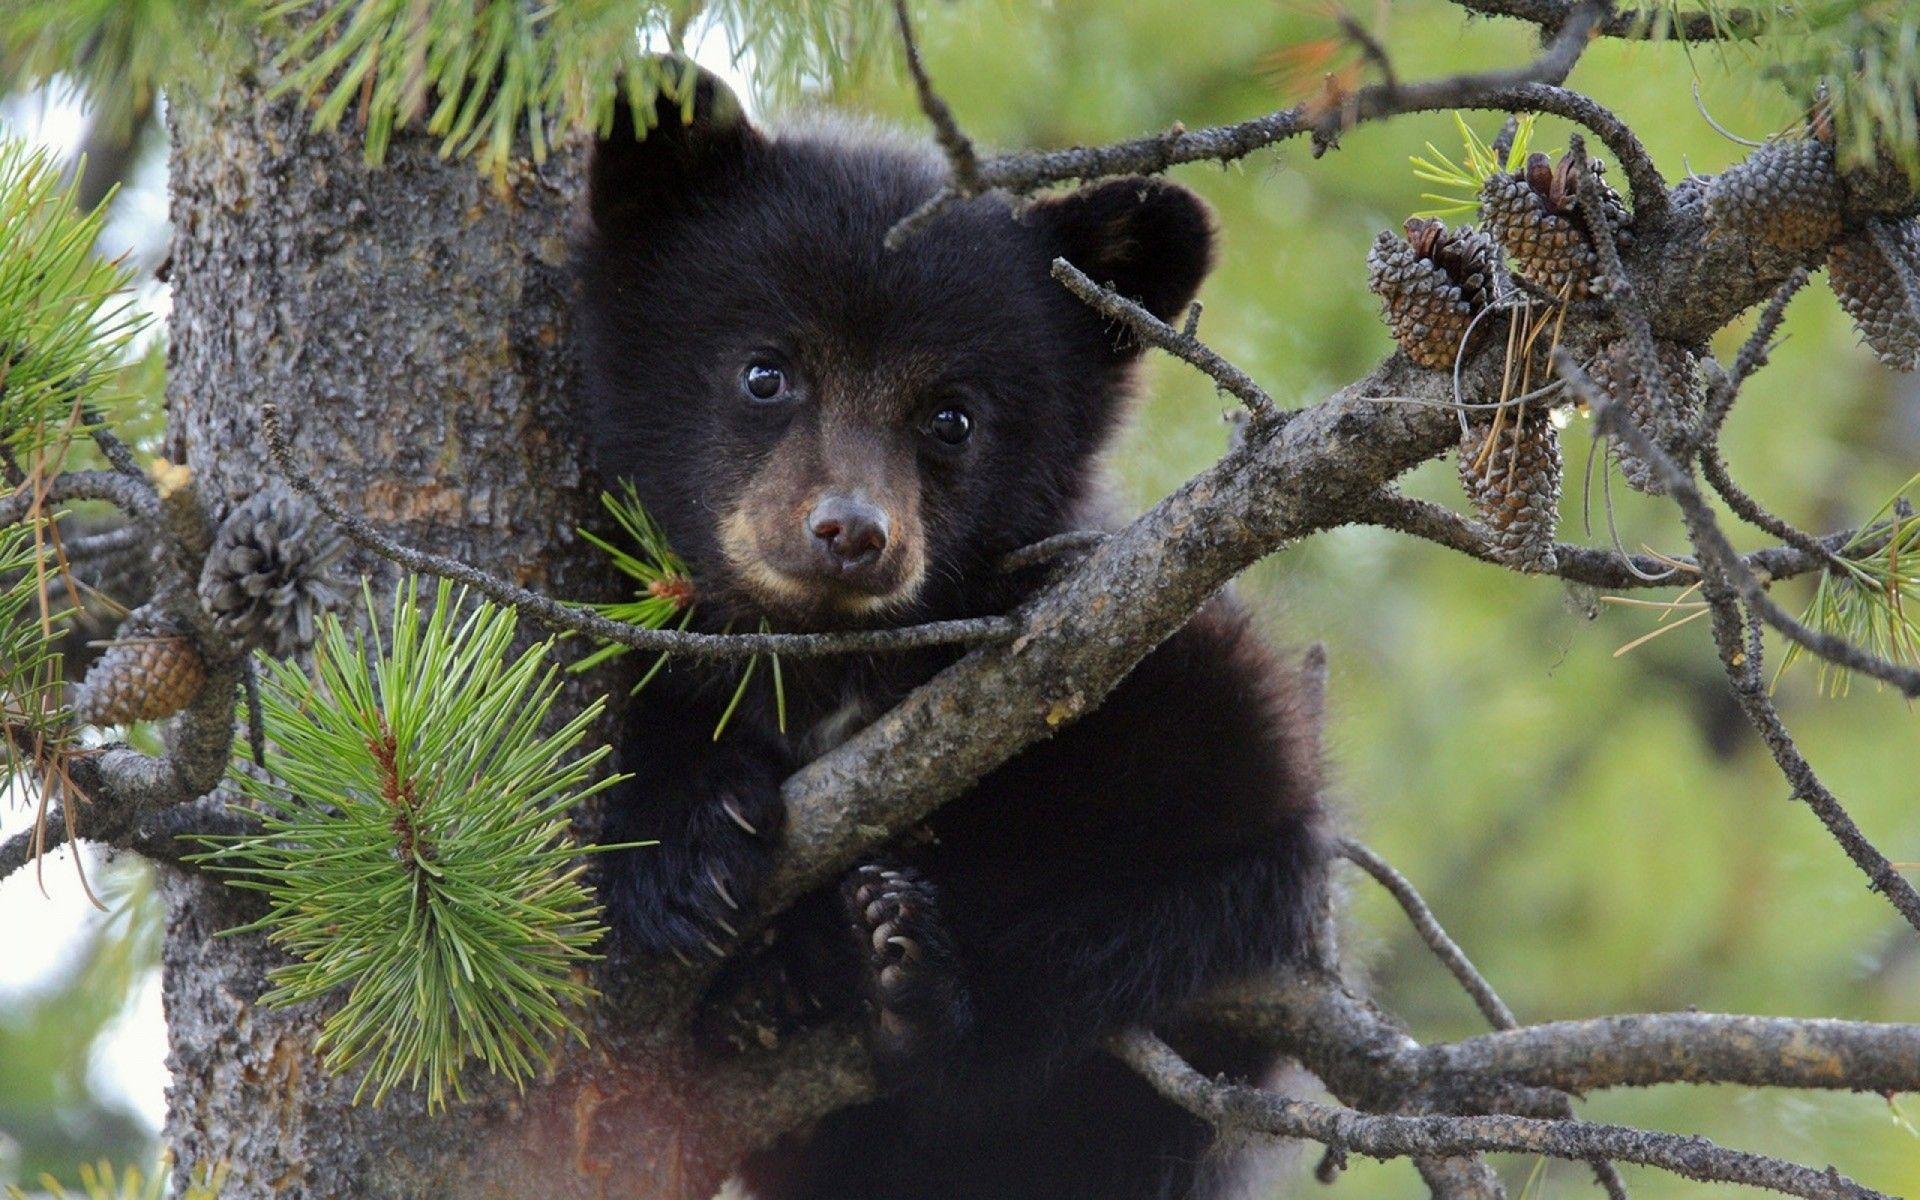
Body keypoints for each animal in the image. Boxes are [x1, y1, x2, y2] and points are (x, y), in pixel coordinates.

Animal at [574, 62, 1330, 1200]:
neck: (836, 664)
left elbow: (1223, 856)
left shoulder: (1165, 662)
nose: (851, 532)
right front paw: (685, 840)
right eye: (766, 371)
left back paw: (908, 986)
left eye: (952, 417)